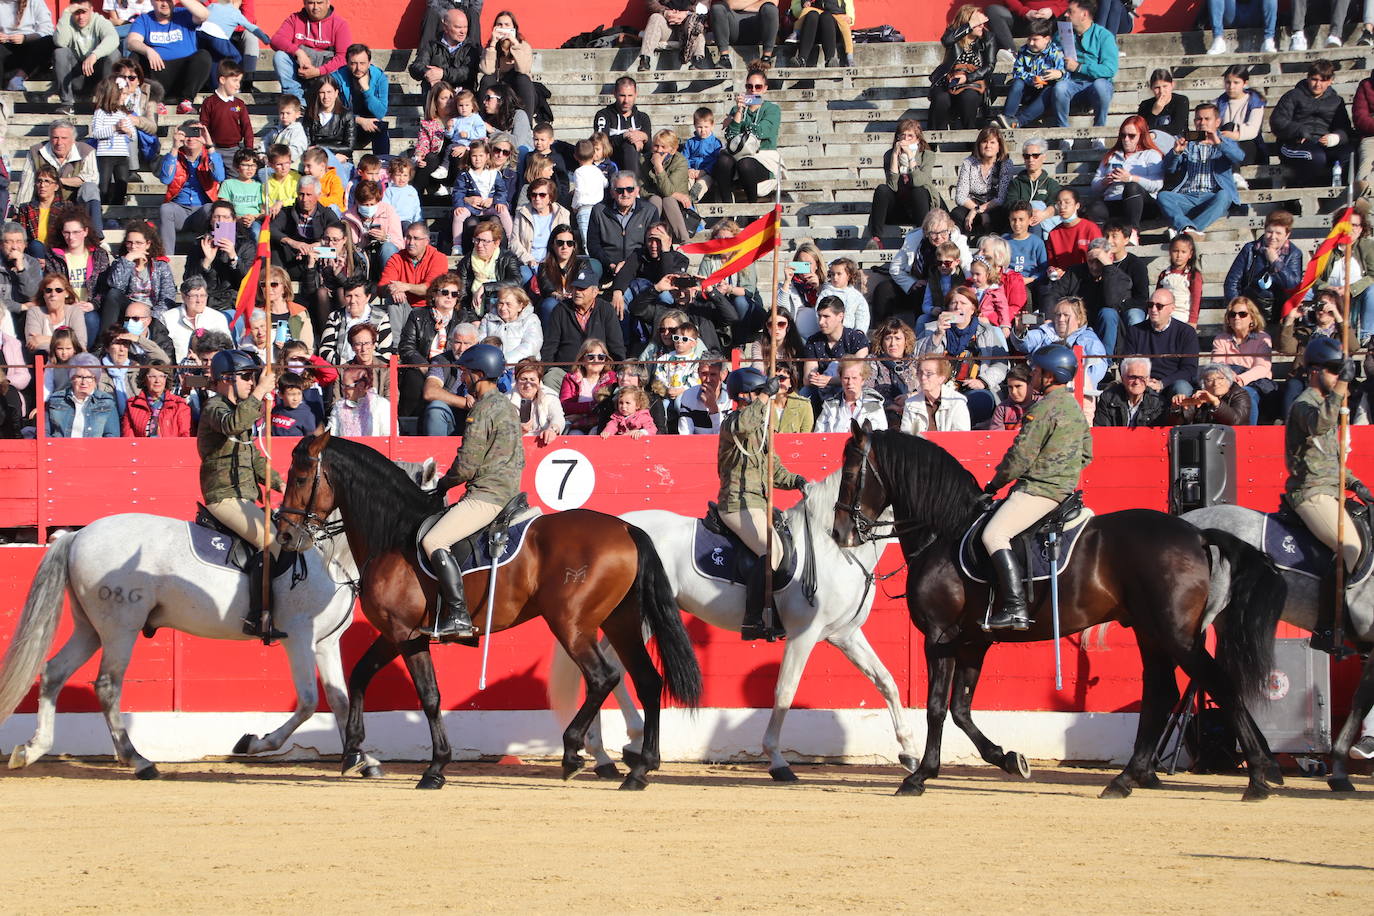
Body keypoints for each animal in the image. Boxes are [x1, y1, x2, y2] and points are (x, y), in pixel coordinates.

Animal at [0, 455, 434, 780]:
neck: (326, 554)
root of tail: (77, 534)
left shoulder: (326, 644)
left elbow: (340, 701)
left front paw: (360, 759)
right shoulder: (298, 639)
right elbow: (310, 702)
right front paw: (255, 742)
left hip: (92, 628)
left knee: (54, 672)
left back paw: (32, 750)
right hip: (120, 627)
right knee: (107, 685)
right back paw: (138, 761)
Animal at [270, 433, 697, 791]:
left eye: (302, 475)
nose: (286, 534)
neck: (393, 536)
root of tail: (625, 528)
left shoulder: (406, 635)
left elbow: (429, 696)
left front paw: (434, 769)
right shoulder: (396, 634)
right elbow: (361, 677)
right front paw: (356, 753)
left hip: (573, 625)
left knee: (602, 677)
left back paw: (574, 754)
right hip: (620, 622)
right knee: (647, 681)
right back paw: (641, 769)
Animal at [544, 472, 912, 780]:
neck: (831, 544)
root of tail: (618, 528)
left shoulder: (845, 635)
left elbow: (886, 682)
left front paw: (908, 752)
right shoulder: (804, 636)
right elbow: (785, 691)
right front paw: (777, 761)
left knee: (604, 668)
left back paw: (604, 755)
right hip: (640, 618)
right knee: (615, 669)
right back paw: (623, 746)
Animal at [829, 425, 1291, 802]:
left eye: (850, 474)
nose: (839, 533)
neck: (945, 533)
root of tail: (1195, 534)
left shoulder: (940, 638)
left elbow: (937, 707)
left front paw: (920, 775)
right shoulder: (973, 641)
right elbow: (961, 708)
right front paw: (1009, 758)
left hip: (1176, 635)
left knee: (1216, 682)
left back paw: (1257, 778)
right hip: (1152, 634)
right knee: (1162, 694)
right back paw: (1128, 778)